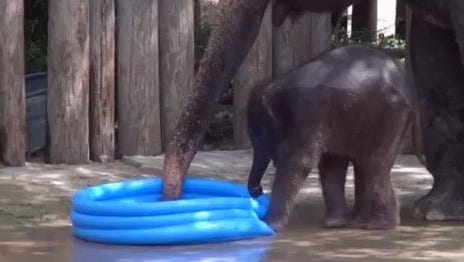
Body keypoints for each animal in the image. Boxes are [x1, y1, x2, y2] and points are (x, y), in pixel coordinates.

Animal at [248, 44, 412, 231]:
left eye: (257, 137)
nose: (259, 190)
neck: (278, 83)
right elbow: (331, 163)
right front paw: (334, 223)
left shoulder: (308, 109)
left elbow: (301, 160)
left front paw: (270, 224)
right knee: (363, 163)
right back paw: (358, 221)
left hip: (391, 116)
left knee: (373, 164)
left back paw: (378, 225)